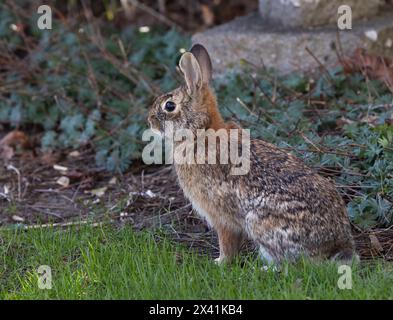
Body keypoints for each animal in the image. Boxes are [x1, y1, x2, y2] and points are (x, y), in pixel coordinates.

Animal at [146, 44, 356, 264]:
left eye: (169, 106)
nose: (150, 121)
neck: (200, 131)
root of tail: (336, 245)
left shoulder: (221, 217)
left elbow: (227, 243)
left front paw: (220, 262)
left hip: (259, 223)